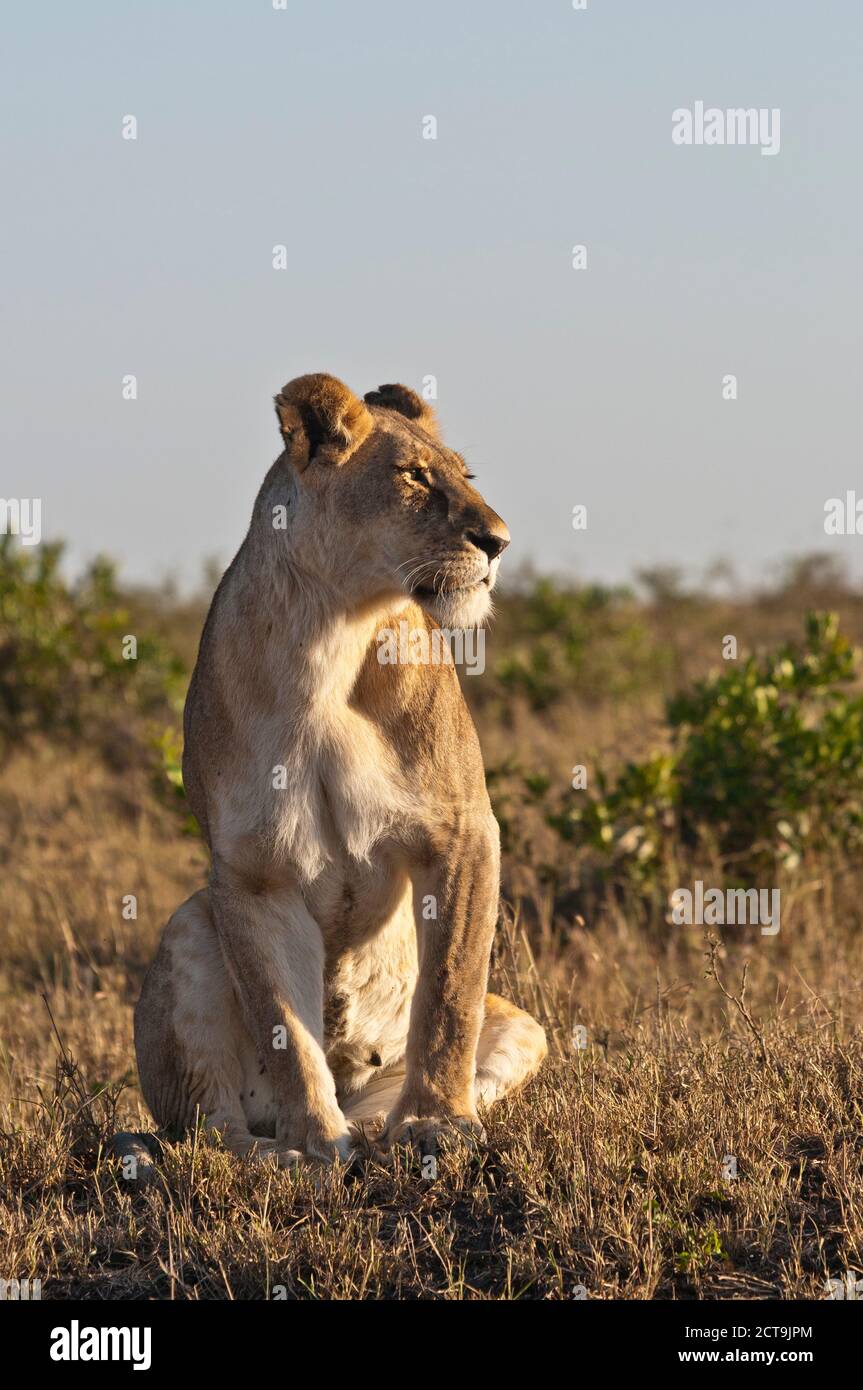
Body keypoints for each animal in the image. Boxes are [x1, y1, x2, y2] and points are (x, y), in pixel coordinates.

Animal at [134, 373, 547, 1165]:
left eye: (466, 475)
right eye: (413, 476)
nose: (501, 541)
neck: (332, 634)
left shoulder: (462, 832)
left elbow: (448, 994)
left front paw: (434, 1124)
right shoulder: (252, 871)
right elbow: (285, 1028)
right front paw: (315, 1146)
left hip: (524, 1025)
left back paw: (377, 1133)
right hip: (190, 921)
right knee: (207, 1131)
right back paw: (279, 1152)